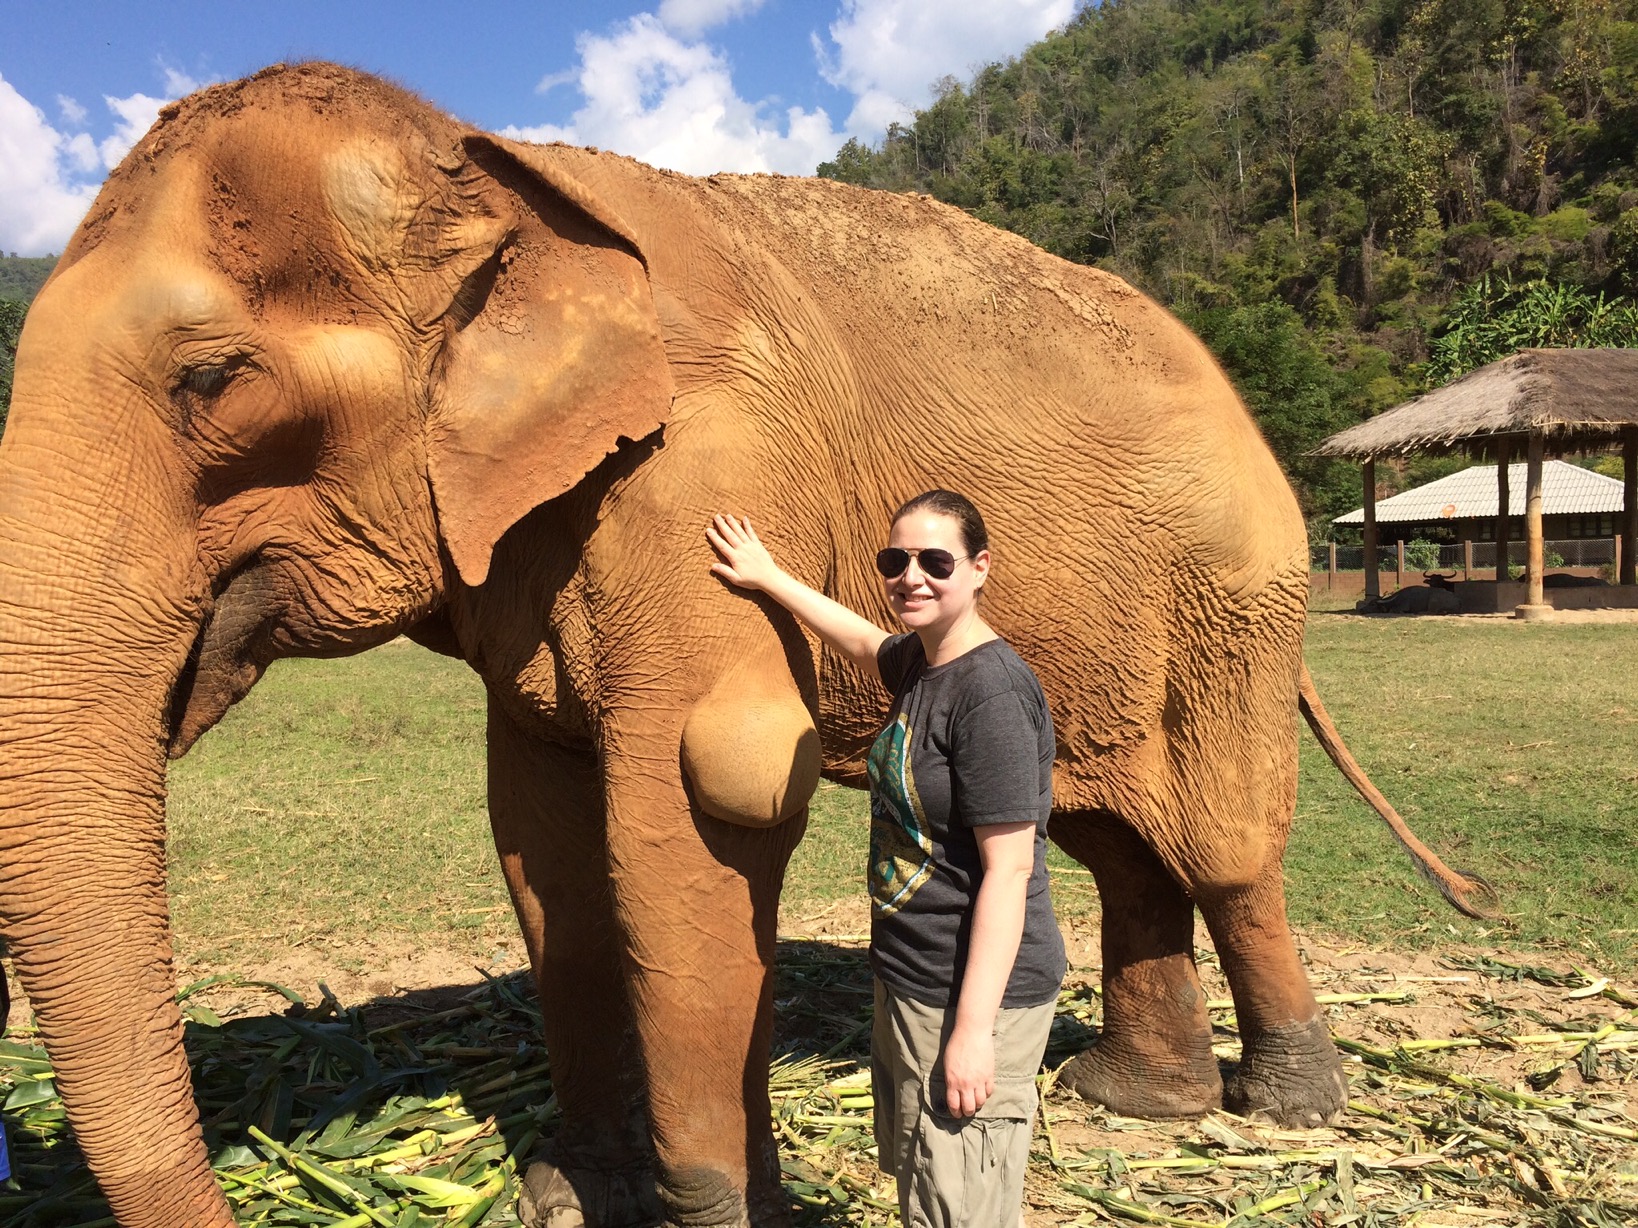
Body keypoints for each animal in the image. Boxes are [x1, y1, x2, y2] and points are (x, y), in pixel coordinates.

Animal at [0, 65, 1500, 1228]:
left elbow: (703, 788)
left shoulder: (710, 459)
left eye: (212, 381)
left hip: (1236, 593)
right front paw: (572, 1190)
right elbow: (543, 837)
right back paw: (1133, 1098)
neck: (499, 164)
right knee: (1108, 838)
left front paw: (715, 1209)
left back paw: (1283, 1106)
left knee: (1223, 840)